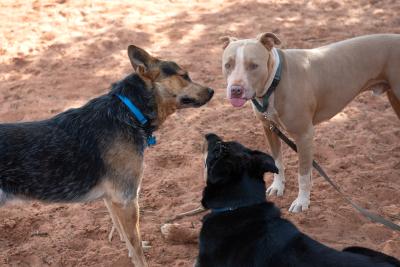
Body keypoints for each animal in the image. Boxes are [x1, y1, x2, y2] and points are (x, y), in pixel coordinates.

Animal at [220, 34, 400, 214]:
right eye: (228, 65)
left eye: (254, 65)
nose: (235, 90)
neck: (275, 82)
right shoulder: (269, 129)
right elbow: (277, 161)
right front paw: (278, 186)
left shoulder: (304, 136)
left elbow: (303, 174)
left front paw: (302, 202)